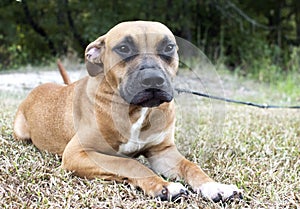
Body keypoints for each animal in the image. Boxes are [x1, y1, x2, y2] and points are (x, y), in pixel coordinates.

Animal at [14, 20, 244, 202]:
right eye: (123, 48)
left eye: (169, 47)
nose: (153, 79)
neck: (136, 111)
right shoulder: (78, 153)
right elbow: (130, 164)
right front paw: (164, 186)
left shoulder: (163, 152)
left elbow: (191, 166)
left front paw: (215, 187)